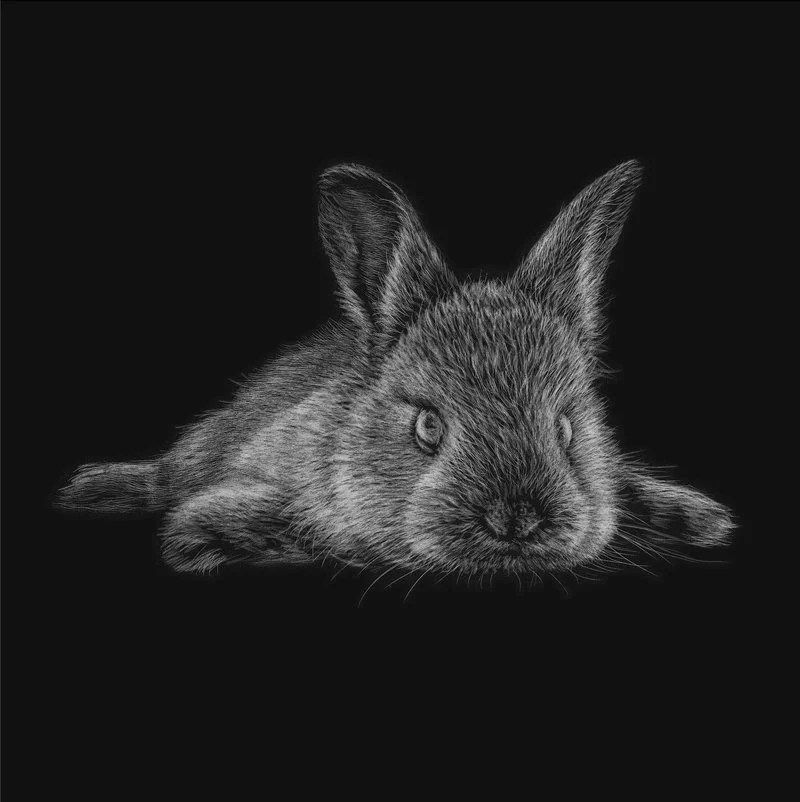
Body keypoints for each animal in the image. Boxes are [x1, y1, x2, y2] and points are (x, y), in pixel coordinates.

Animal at [53, 160, 735, 581]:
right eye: (427, 428)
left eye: (567, 429)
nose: (517, 519)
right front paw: (204, 539)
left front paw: (707, 522)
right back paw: (92, 487)